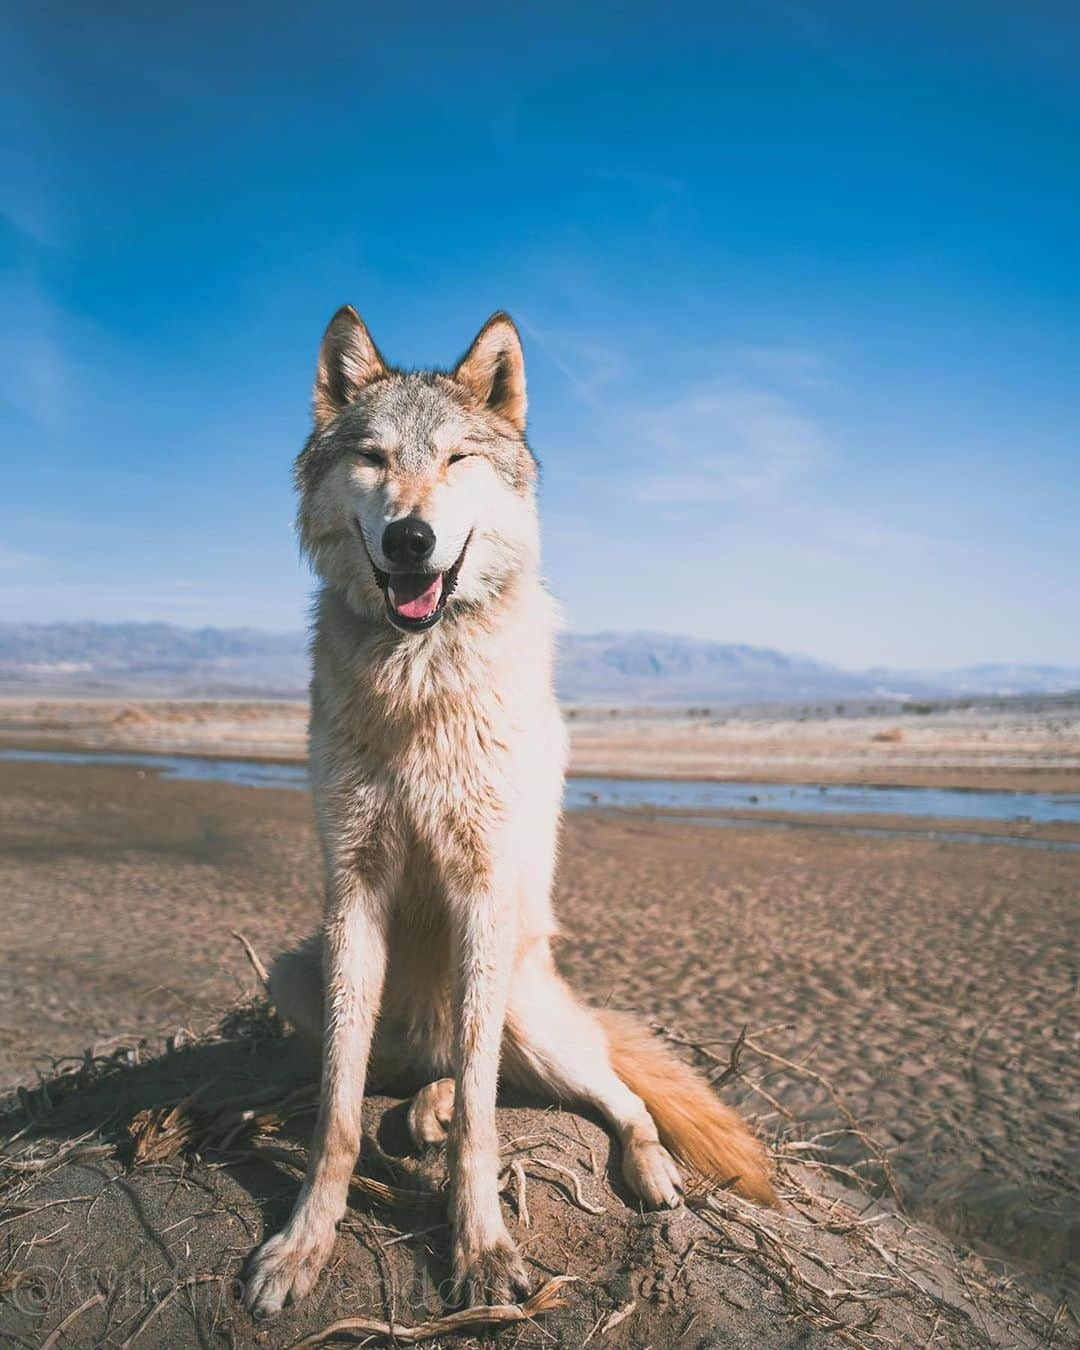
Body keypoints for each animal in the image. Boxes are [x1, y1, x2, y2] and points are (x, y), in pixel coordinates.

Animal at [243, 309, 777, 1317]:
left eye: (457, 459)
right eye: (373, 457)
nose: (411, 538)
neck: (417, 675)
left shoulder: (482, 888)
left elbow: (486, 1127)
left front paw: (482, 1248)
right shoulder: (355, 888)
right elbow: (337, 1114)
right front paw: (302, 1244)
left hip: (525, 1007)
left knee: (594, 1095)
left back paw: (646, 1169)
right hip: (299, 971)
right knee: (426, 1078)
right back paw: (412, 1103)